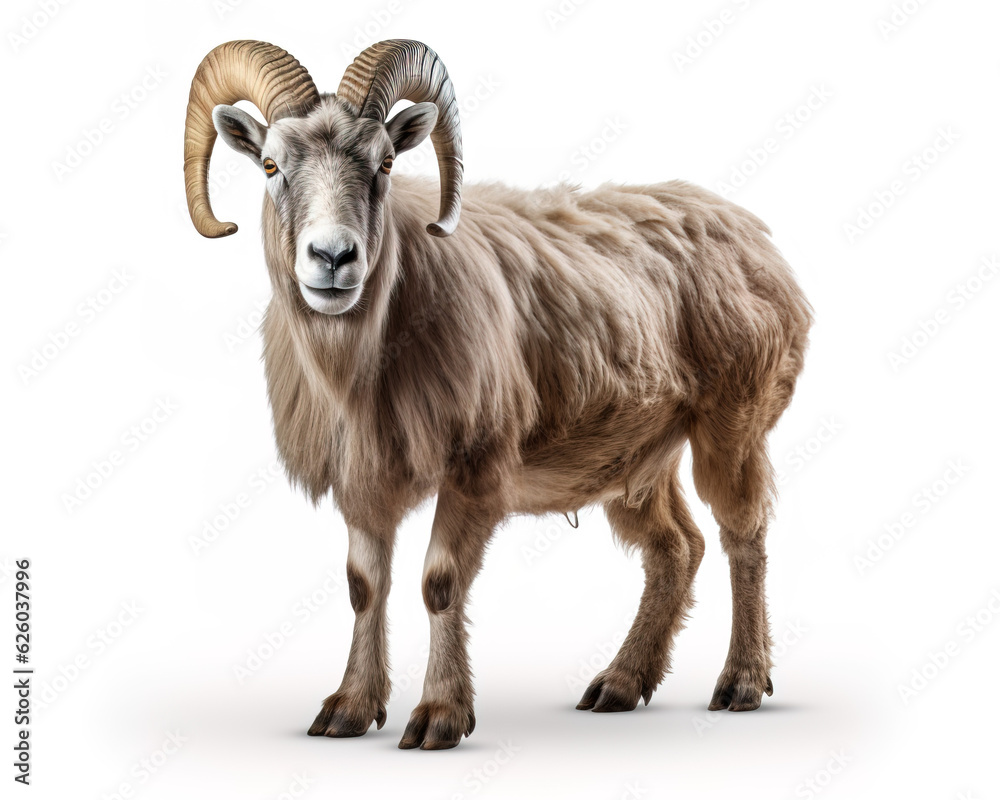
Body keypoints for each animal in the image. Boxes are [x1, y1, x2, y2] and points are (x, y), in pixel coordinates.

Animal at [183, 39, 812, 750]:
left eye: (385, 163)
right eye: (270, 165)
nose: (334, 258)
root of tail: (751, 231)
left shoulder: (474, 464)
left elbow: (440, 583)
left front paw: (439, 717)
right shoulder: (364, 477)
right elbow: (364, 588)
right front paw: (348, 708)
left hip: (734, 419)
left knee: (744, 535)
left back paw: (741, 683)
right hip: (635, 454)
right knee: (677, 549)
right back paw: (619, 685)